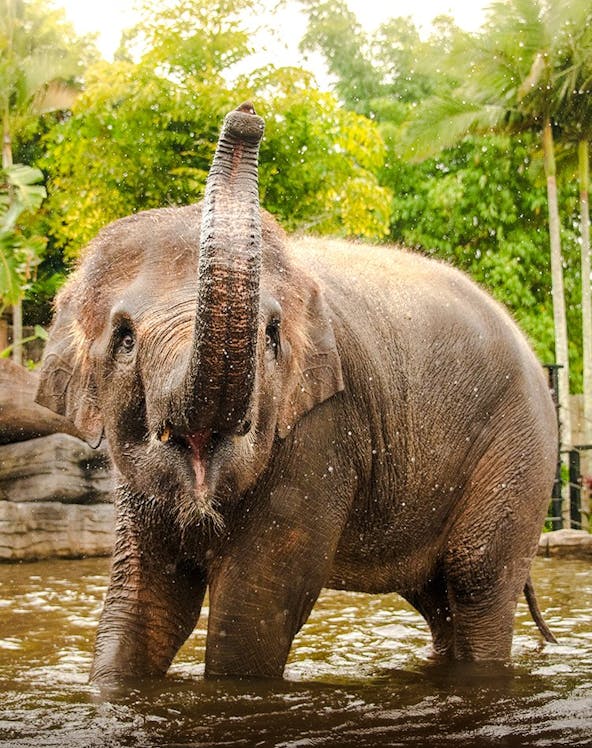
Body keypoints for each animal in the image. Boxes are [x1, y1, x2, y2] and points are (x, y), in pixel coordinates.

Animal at [36, 102, 558, 686]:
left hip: (520, 450)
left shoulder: (322, 430)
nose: (247, 112)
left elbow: (256, 602)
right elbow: (146, 598)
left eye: (271, 336)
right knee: (438, 597)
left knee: (476, 579)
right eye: (124, 339)